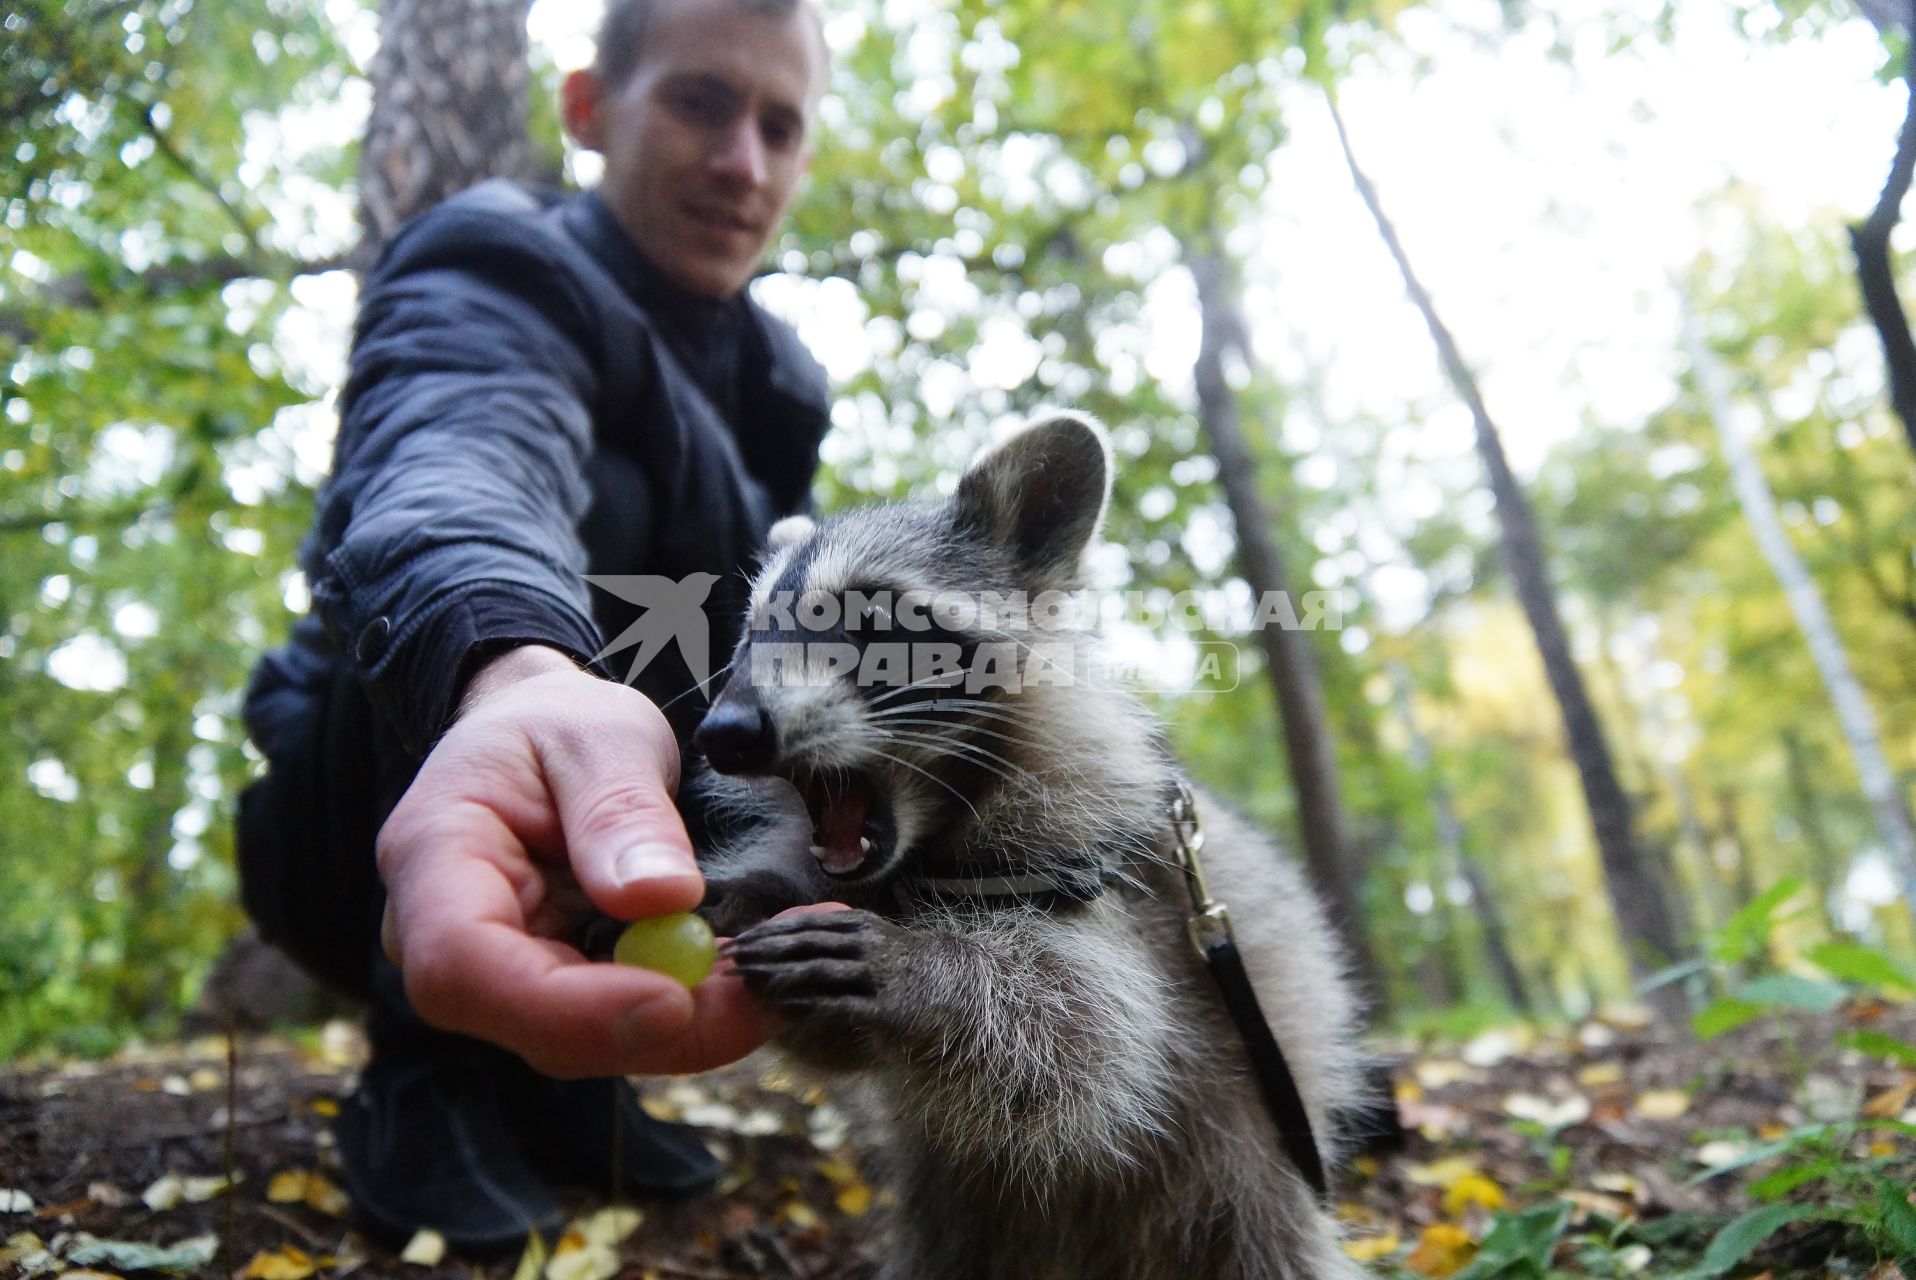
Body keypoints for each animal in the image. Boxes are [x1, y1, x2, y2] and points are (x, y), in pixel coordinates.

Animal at [697, 415, 1371, 1272]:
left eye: (876, 618)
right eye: (753, 633)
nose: (725, 733)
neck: (925, 849)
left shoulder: (1112, 885)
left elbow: (1085, 1034)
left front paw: (921, 970)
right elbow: (840, 1039)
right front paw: (744, 894)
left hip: (1246, 1176)